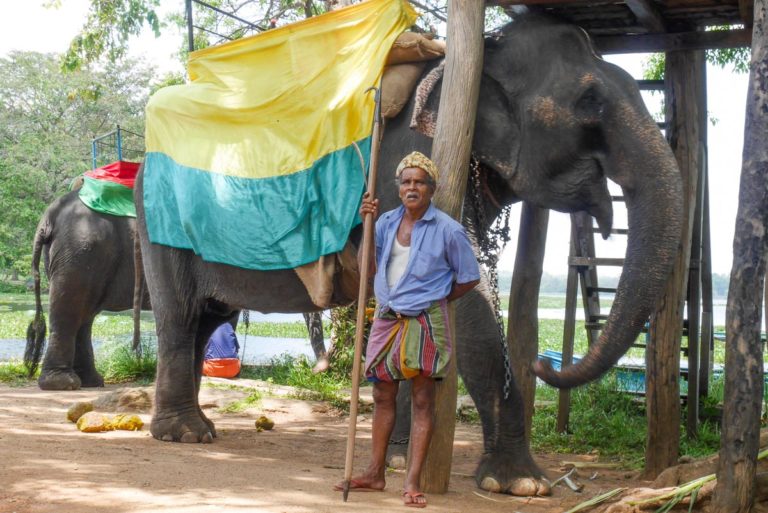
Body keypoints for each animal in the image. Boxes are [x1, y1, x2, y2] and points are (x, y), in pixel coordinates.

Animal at [135, 15, 680, 496]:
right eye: (589, 101)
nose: (545, 368)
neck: (478, 58)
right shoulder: (410, 160)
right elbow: (467, 298)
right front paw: (523, 484)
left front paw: (399, 459)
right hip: (160, 228)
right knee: (181, 317)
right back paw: (186, 435)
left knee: (207, 317)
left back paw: (197, 427)